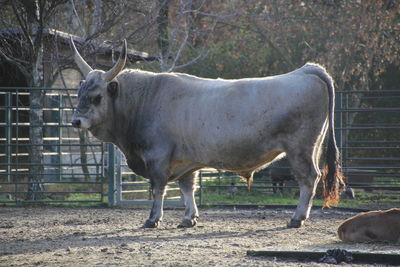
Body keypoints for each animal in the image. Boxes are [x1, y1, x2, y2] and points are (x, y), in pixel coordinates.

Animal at [69, 38, 344, 229]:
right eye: (79, 93)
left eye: (96, 97)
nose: (75, 121)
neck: (145, 97)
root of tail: (306, 70)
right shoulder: (185, 161)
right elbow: (187, 189)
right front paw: (189, 218)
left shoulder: (158, 159)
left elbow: (158, 189)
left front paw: (152, 219)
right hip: (313, 147)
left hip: (300, 149)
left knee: (308, 178)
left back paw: (297, 218)